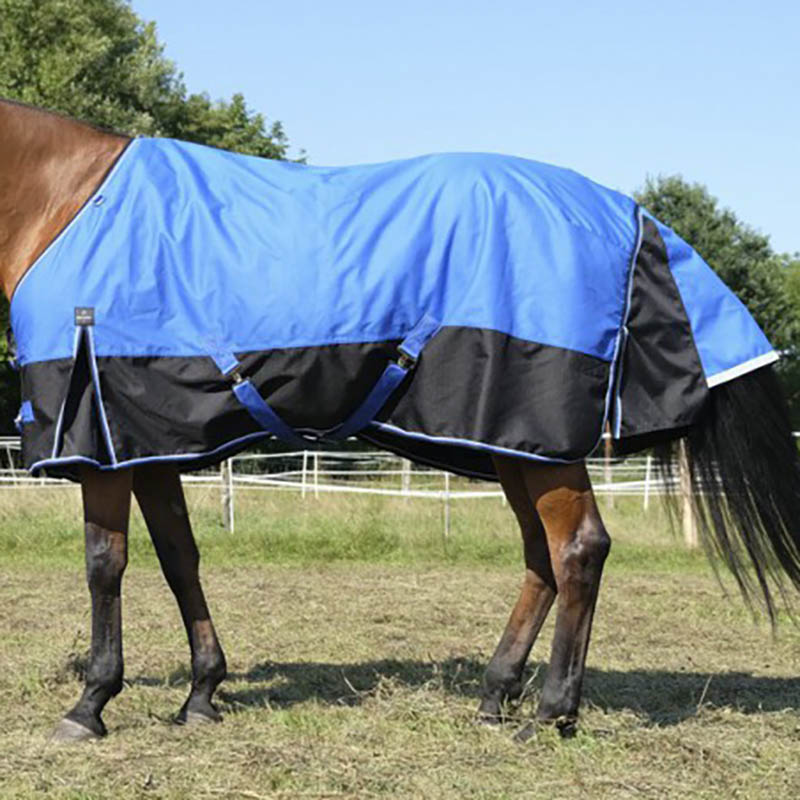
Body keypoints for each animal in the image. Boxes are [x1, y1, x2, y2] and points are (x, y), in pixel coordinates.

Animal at [2, 97, 800, 743]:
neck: (68, 204)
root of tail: (630, 214)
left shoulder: (99, 442)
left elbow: (104, 564)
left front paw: (90, 704)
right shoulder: (147, 442)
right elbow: (179, 560)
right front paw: (201, 693)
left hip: (539, 445)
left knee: (579, 551)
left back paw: (550, 713)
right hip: (509, 446)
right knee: (541, 557)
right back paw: (494, 696)